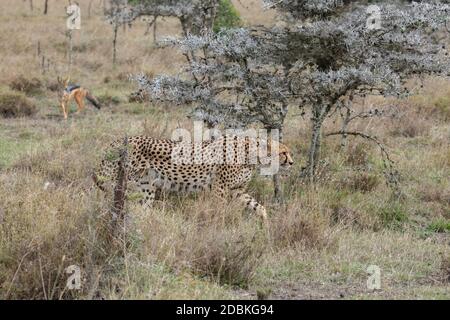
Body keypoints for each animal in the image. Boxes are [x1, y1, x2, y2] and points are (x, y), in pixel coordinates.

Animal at [93, 134, 294, 221]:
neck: (252, 154)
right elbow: (220, 210)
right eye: (283, 152)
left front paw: (265, 225)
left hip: (146, 188)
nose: (292, 162)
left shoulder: (237, 191)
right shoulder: (220, 188)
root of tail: (116, 141)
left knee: (144, 208)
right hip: (116, 183)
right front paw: (220, 229)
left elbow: (258, 206)